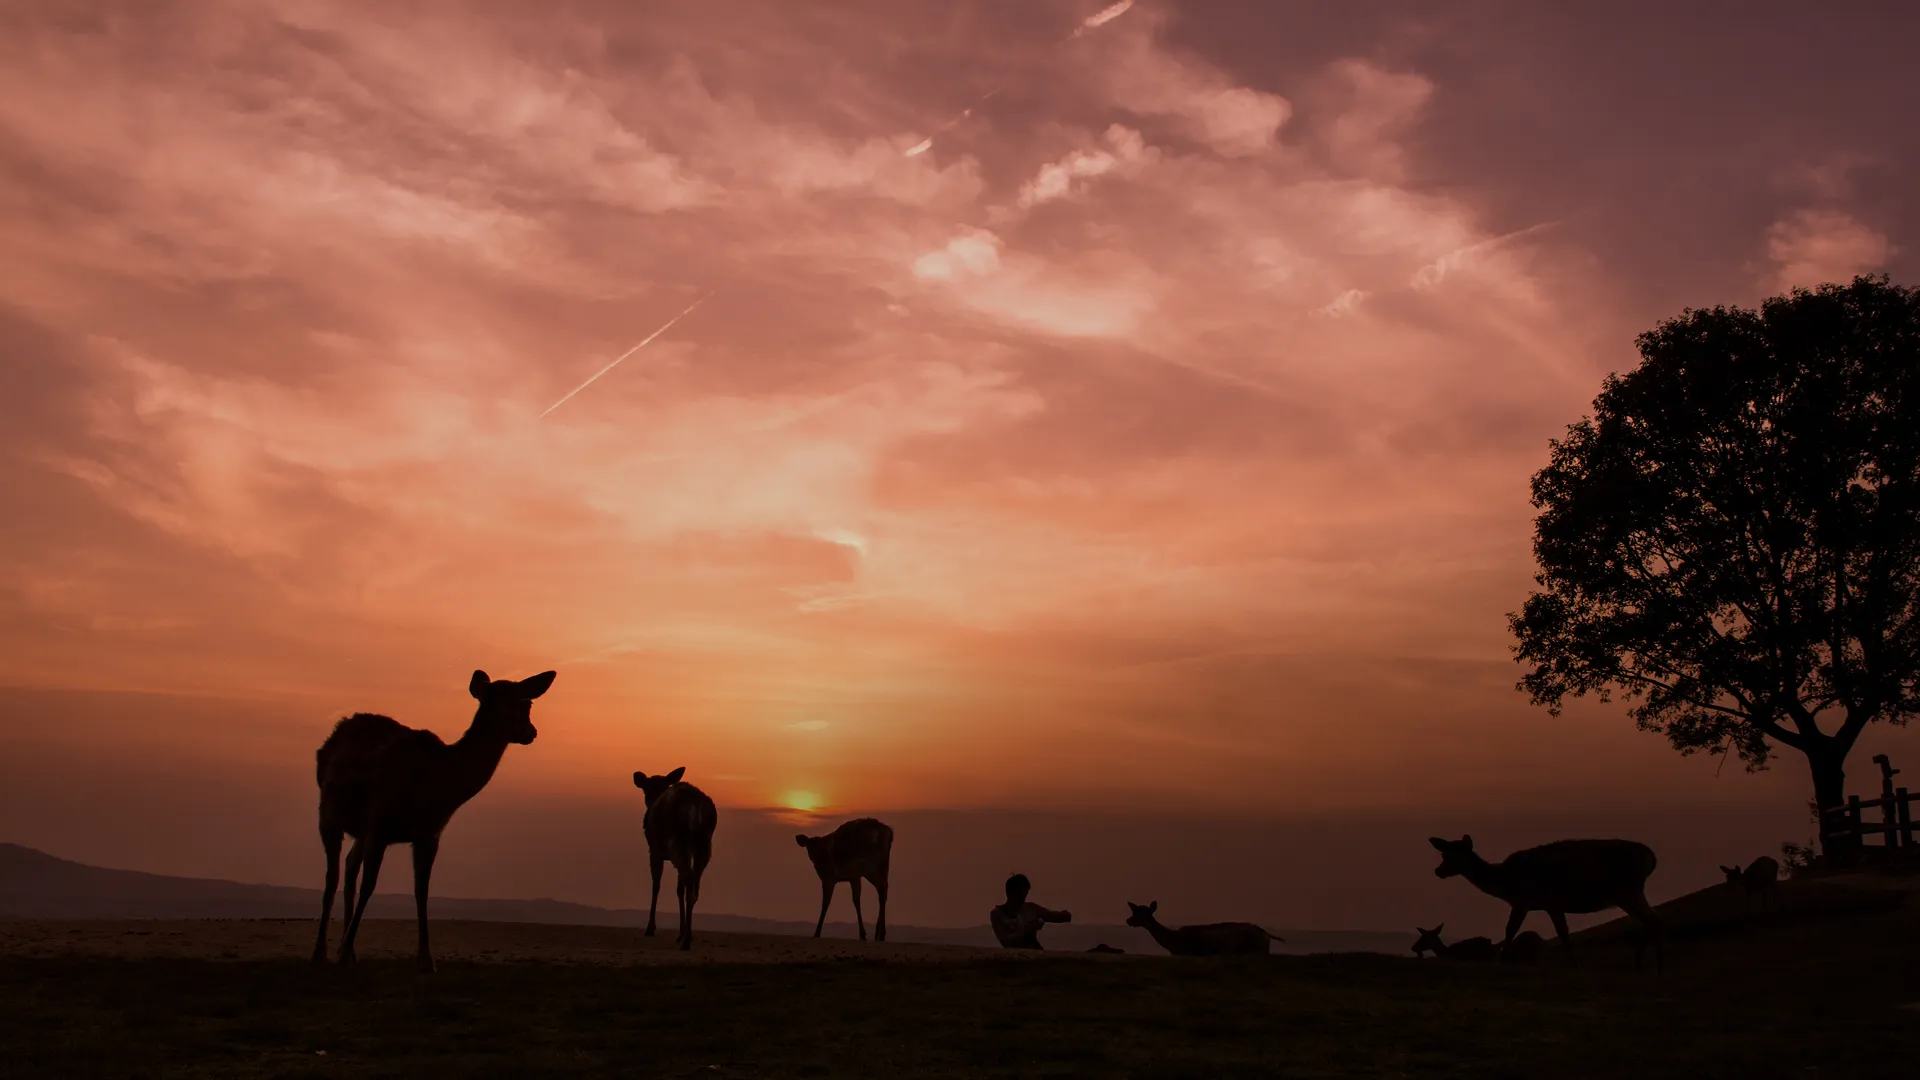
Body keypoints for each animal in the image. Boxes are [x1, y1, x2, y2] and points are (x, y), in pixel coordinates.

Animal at [311, 669, 556, 972]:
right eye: (526, 704)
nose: (532, 732)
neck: (436, 785)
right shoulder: (380, 823)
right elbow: (369, 887)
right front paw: (343, 954)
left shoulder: (429, 834)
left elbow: (422, 890)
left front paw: (427, 959)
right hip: (328, 816)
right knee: (332, 877)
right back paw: (321, 953)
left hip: (359, 830)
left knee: (349, 867)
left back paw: (351, 951)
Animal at [632, 767, 718, 950]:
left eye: (645, 788)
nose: (648, 802)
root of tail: (697, 807)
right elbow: (679, 889)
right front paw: (679, 932)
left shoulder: (654, 850)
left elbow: (656, 885)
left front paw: (650, 928)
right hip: (704, 845)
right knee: (694, 885)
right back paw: (686, 936)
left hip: (678, 842)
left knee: (689, 880)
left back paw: (686, 940)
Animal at [1124, 901, 1284, 957]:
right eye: (1134, 911)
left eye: (1139, 913)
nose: (1128, 920)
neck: (1173, 942)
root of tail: (1265, 934)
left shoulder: (1187, 953)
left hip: (1254, 950)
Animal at [1429, 834, 1662, 972]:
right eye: (1443, 853)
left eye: (1453, 856)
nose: (1438, 871)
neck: (1506, 883)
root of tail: (1652, 858)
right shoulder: (1551, 905)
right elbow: (1563, 932)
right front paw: (1573, 963)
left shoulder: (1525, 901)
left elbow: (1510, 930)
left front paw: (1500, 961)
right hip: (1631, 891)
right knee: (1652, 920)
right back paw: (1647, 961)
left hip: (1627, 890)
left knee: (1653, 920)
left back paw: (1649, 963)